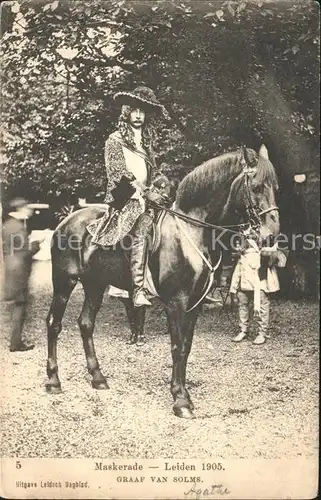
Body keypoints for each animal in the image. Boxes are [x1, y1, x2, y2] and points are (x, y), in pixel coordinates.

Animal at [46, 146, 278, 418]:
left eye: (275, 187)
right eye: (257, 187)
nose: (271, 235)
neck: (192, 231)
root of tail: (65, 222)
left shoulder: (195, 303)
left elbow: (186, 347)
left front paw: (183, 393)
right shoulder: (176, 302)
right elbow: (176, 346)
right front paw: (180, 400)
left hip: (95, 285)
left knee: (85, 324)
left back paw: (98, 377)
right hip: (65, 281)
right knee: (54, 324)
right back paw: (53, 381)